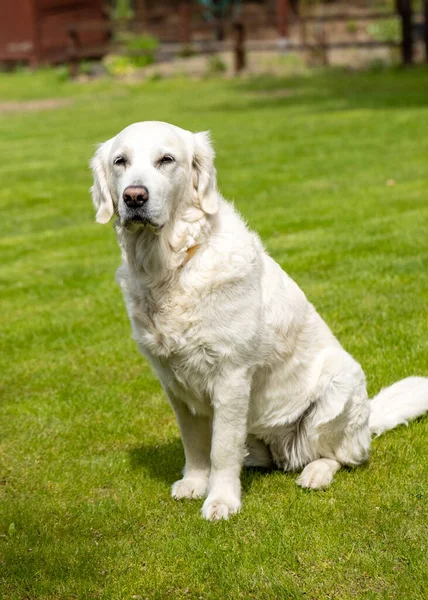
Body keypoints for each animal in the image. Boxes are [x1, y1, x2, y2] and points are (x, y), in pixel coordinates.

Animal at [90, 120, 428, 520]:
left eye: (166, 159)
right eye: (120, 161)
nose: (134, 197)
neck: (171, 267)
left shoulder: (231, 375)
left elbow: (221, 449)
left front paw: (221, 501)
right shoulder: (173, 382)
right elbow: (195, 443)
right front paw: (194, 483)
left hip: (339, 384)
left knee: (341, 456)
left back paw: (315, 474)